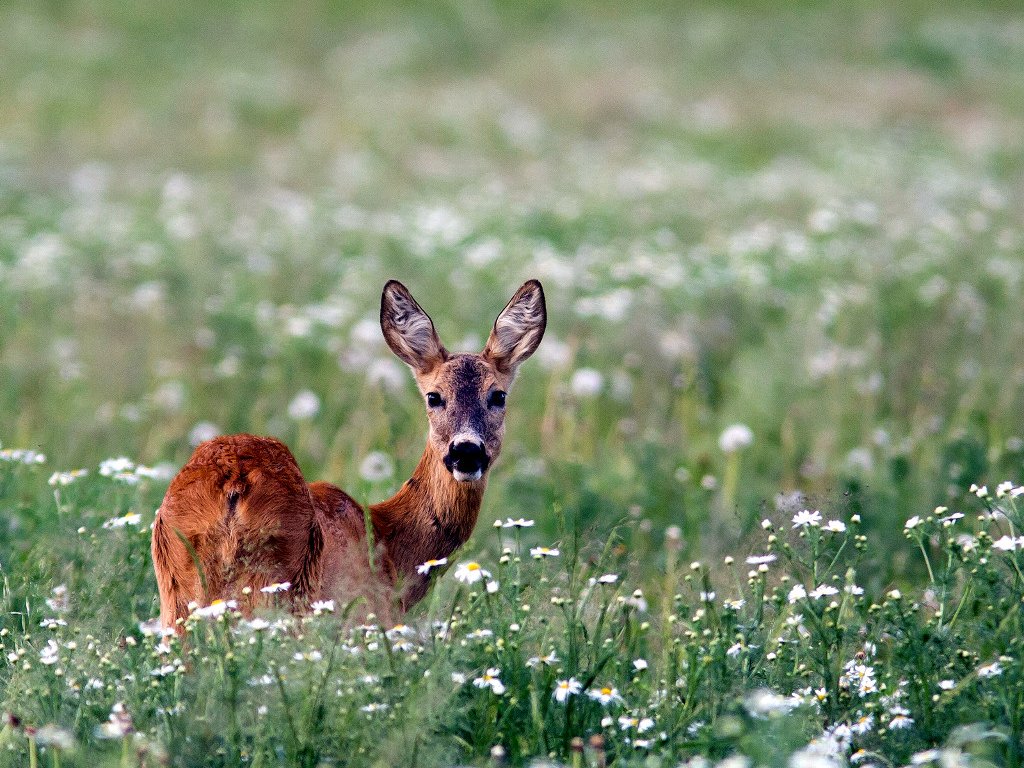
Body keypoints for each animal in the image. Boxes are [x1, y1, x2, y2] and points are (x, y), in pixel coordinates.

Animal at [149, 280, 544, 626]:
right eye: (434, 396)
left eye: (498, 396)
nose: (466, 452)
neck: (391, 547)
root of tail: (233, 481)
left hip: (177, 591)